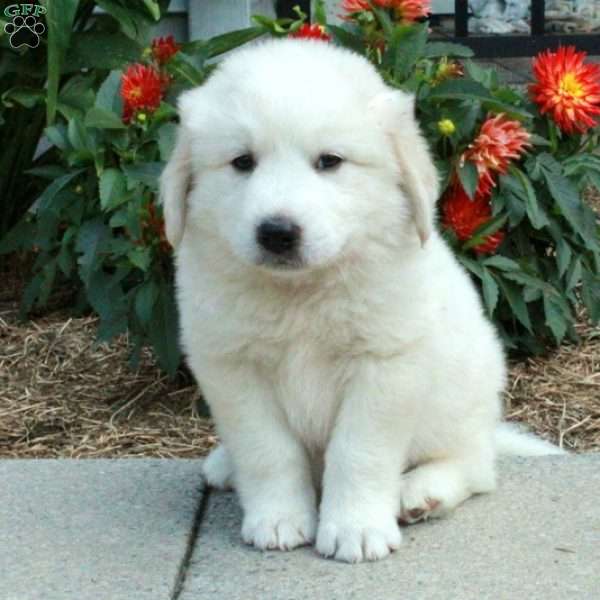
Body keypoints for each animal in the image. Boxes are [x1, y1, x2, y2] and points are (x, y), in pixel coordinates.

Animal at [161, 37, 564, 564]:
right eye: (242, 162)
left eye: (330, 161)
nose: (277, 233)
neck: (302, 293)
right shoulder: (233, 368)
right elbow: (267, 450)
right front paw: (278, 519)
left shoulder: (385, 365)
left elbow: (358, 452)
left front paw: (355, 529)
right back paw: (226, 466)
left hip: (463, 398)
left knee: (475, 466)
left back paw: (421, 492)